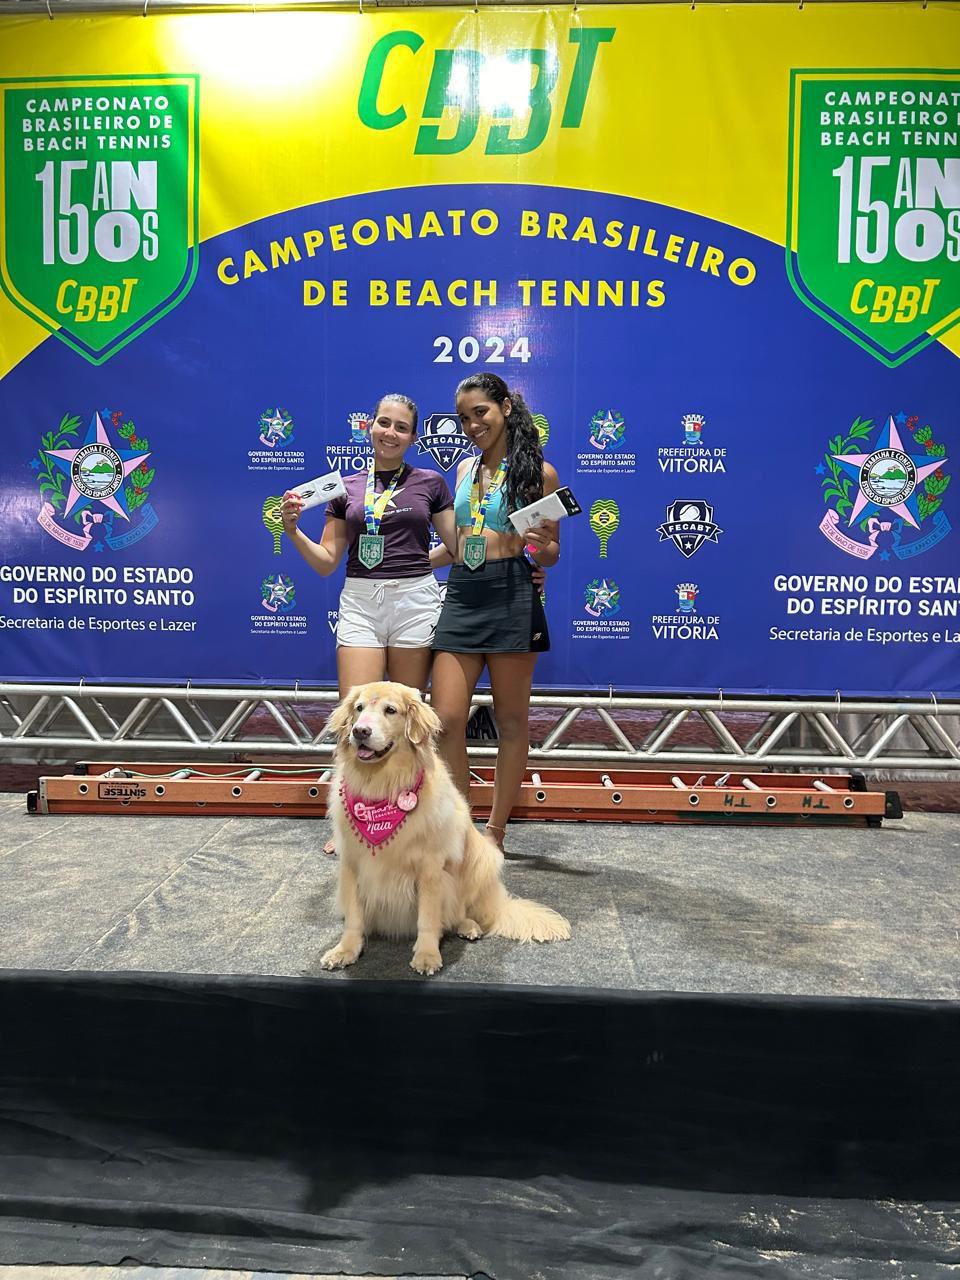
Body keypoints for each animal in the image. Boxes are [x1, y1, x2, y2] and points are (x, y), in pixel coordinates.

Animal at [321, 680, 570, 967]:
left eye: (390, 710)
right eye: (359, 708)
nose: (360, 731)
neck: (383, 786)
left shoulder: (430, 867)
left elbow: (429, 917)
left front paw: (427, 955)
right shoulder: (352, 863)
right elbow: (354, 915)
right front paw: (345, 950)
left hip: (481, 861)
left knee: (461, 910)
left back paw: (468, 926)